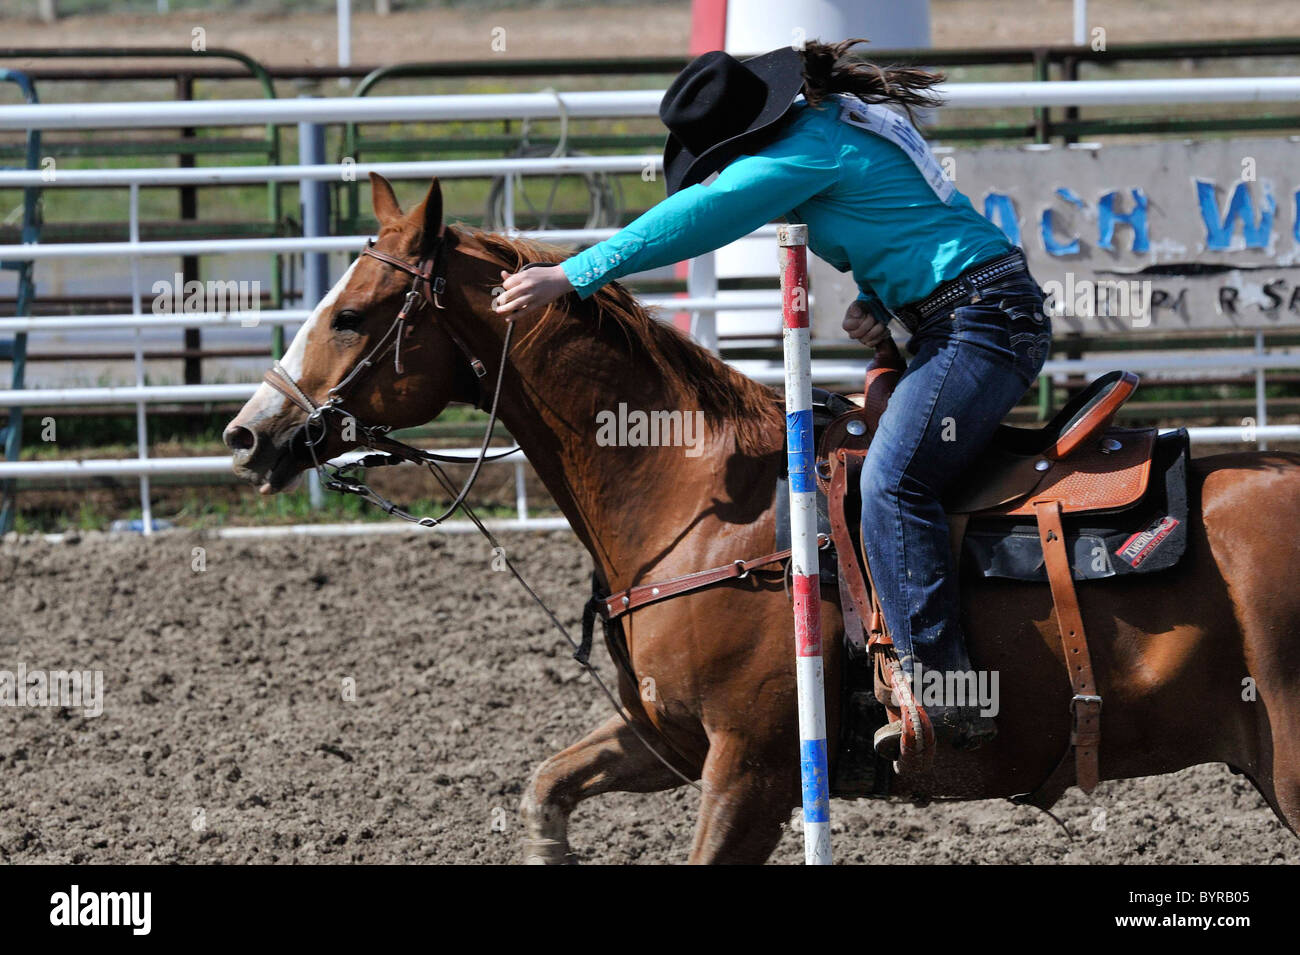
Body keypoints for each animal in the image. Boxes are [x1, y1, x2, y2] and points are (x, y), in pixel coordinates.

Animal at [225, 173, 1300, 864]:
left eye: (353, 315)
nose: (248, 431)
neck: (695, 500)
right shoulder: (668, 737)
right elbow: (546, 787)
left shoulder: (752, 767)